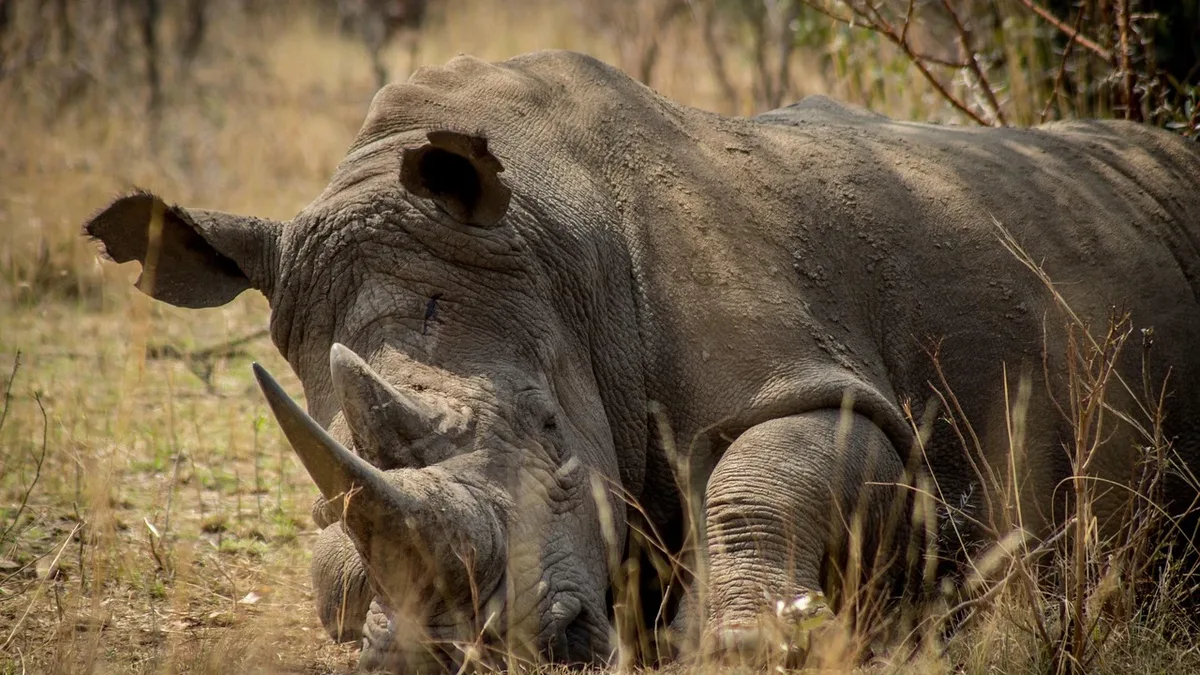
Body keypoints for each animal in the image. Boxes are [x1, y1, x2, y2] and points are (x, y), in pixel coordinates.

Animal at [83, 50, 1200, 671]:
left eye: (548, 432)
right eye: (325, 507)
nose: (491, 649)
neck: (553, 234)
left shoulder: (812, 376)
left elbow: (763, 473)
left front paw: (752, 643)